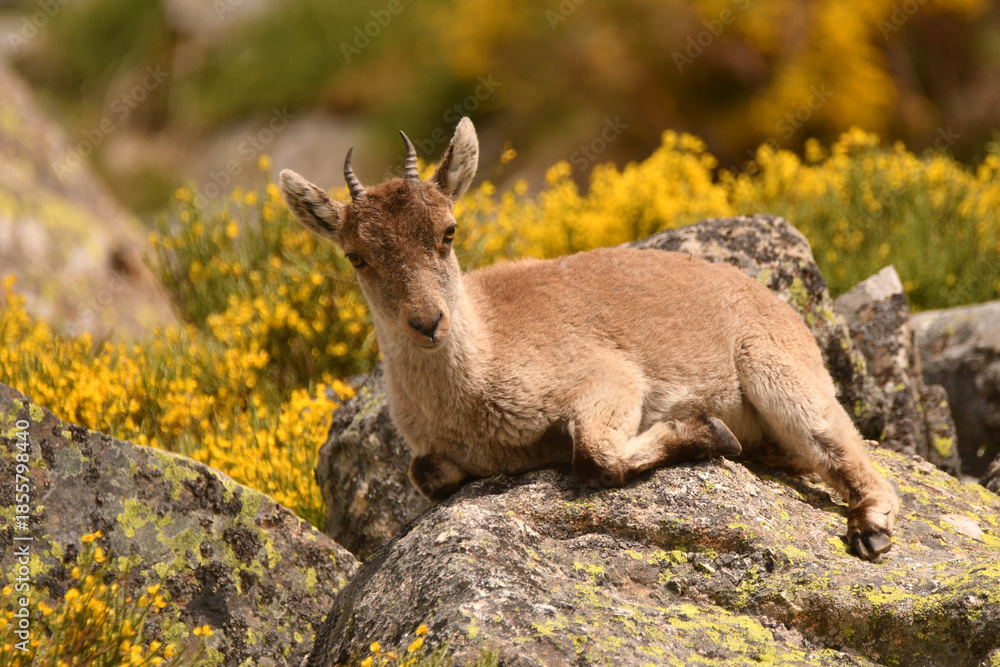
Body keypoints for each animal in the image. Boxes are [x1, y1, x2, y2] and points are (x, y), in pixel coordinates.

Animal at [279, 118, 900, 560]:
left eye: (448, 232)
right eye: (356, 257)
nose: (428, 323)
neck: (478, 376)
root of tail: (786, 311)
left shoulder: (610, 377)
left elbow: (594, 455)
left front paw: (708, 432)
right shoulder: (436, 453)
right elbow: (424, 474)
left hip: (773, 367)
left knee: (841, 442)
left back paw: (871, 528)